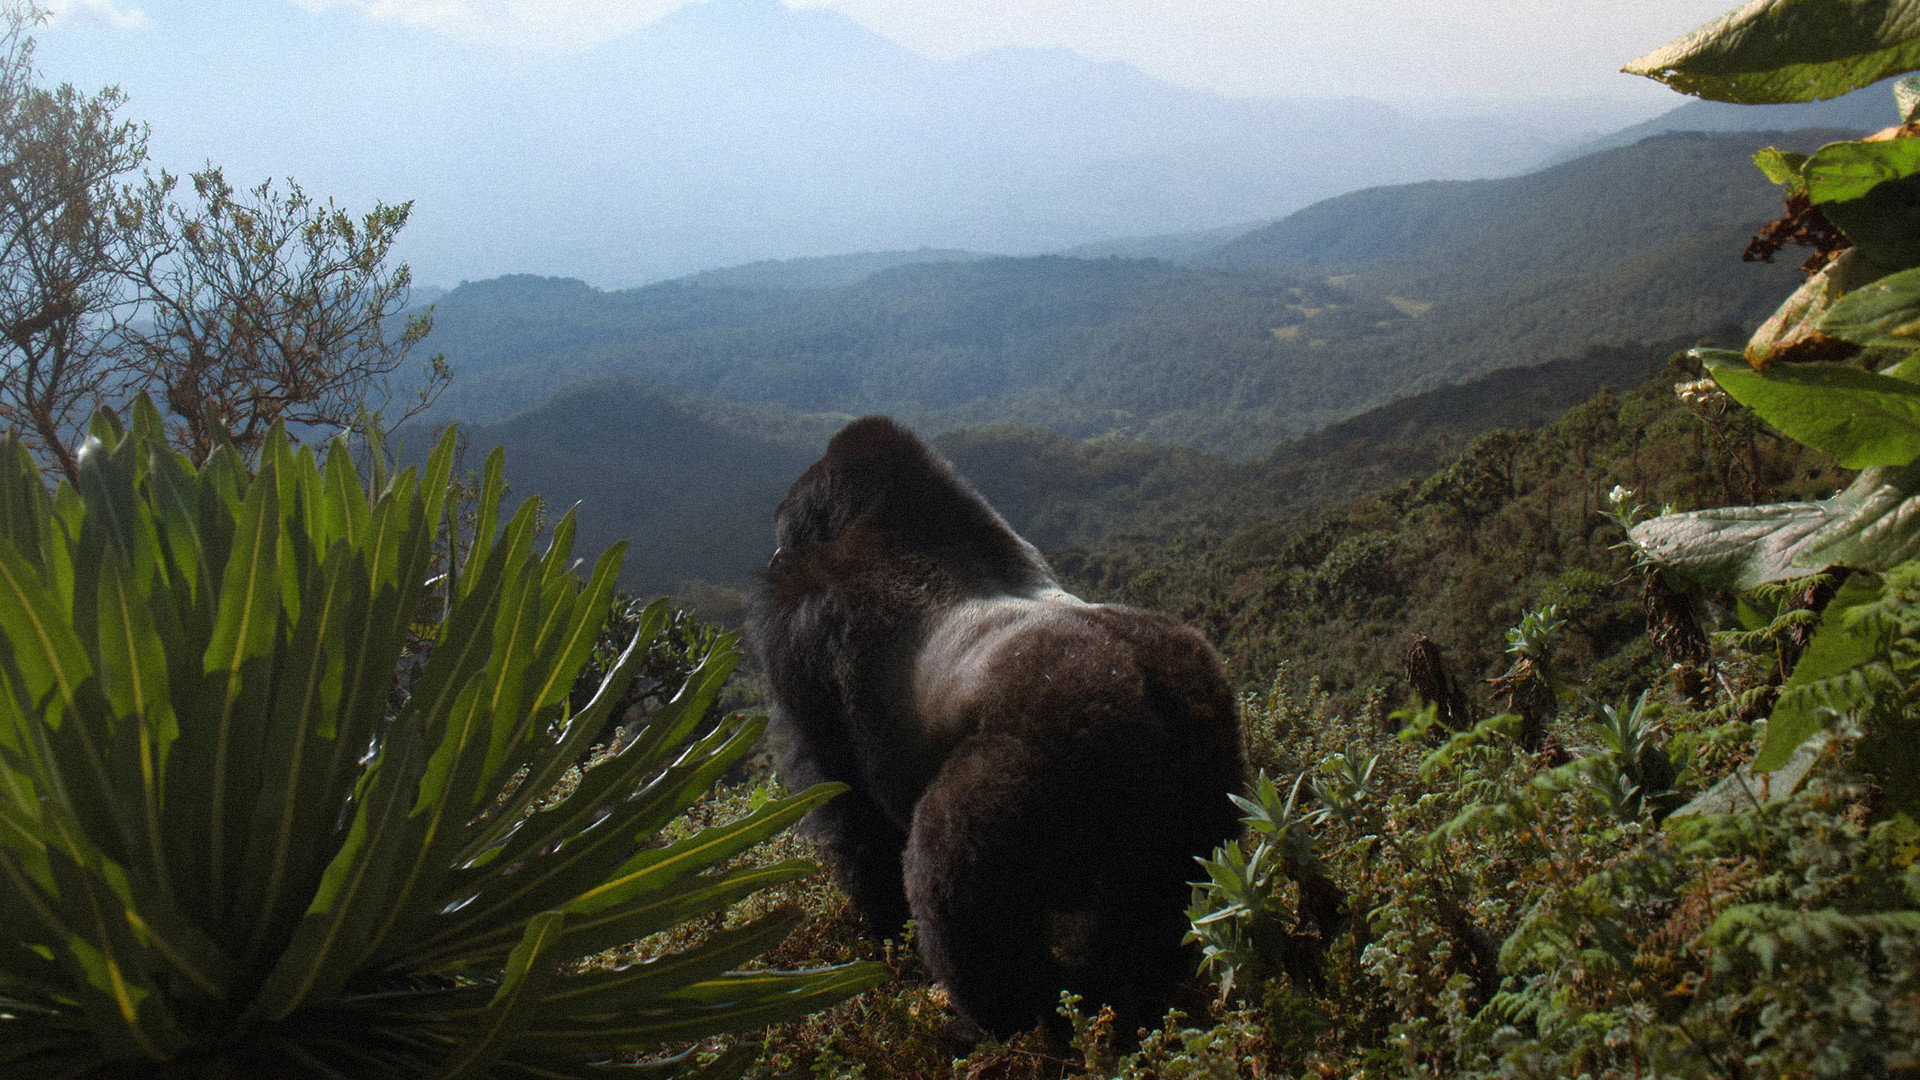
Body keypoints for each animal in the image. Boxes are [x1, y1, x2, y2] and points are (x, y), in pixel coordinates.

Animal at [750, 416, 1245, 1041]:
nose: (772, 557)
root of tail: (1143, 674)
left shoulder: (800, 623)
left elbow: (849, 809)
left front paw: (884, 936)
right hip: (1209, 737)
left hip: (1051, 746)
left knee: (946, 863)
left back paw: (995, 1024)